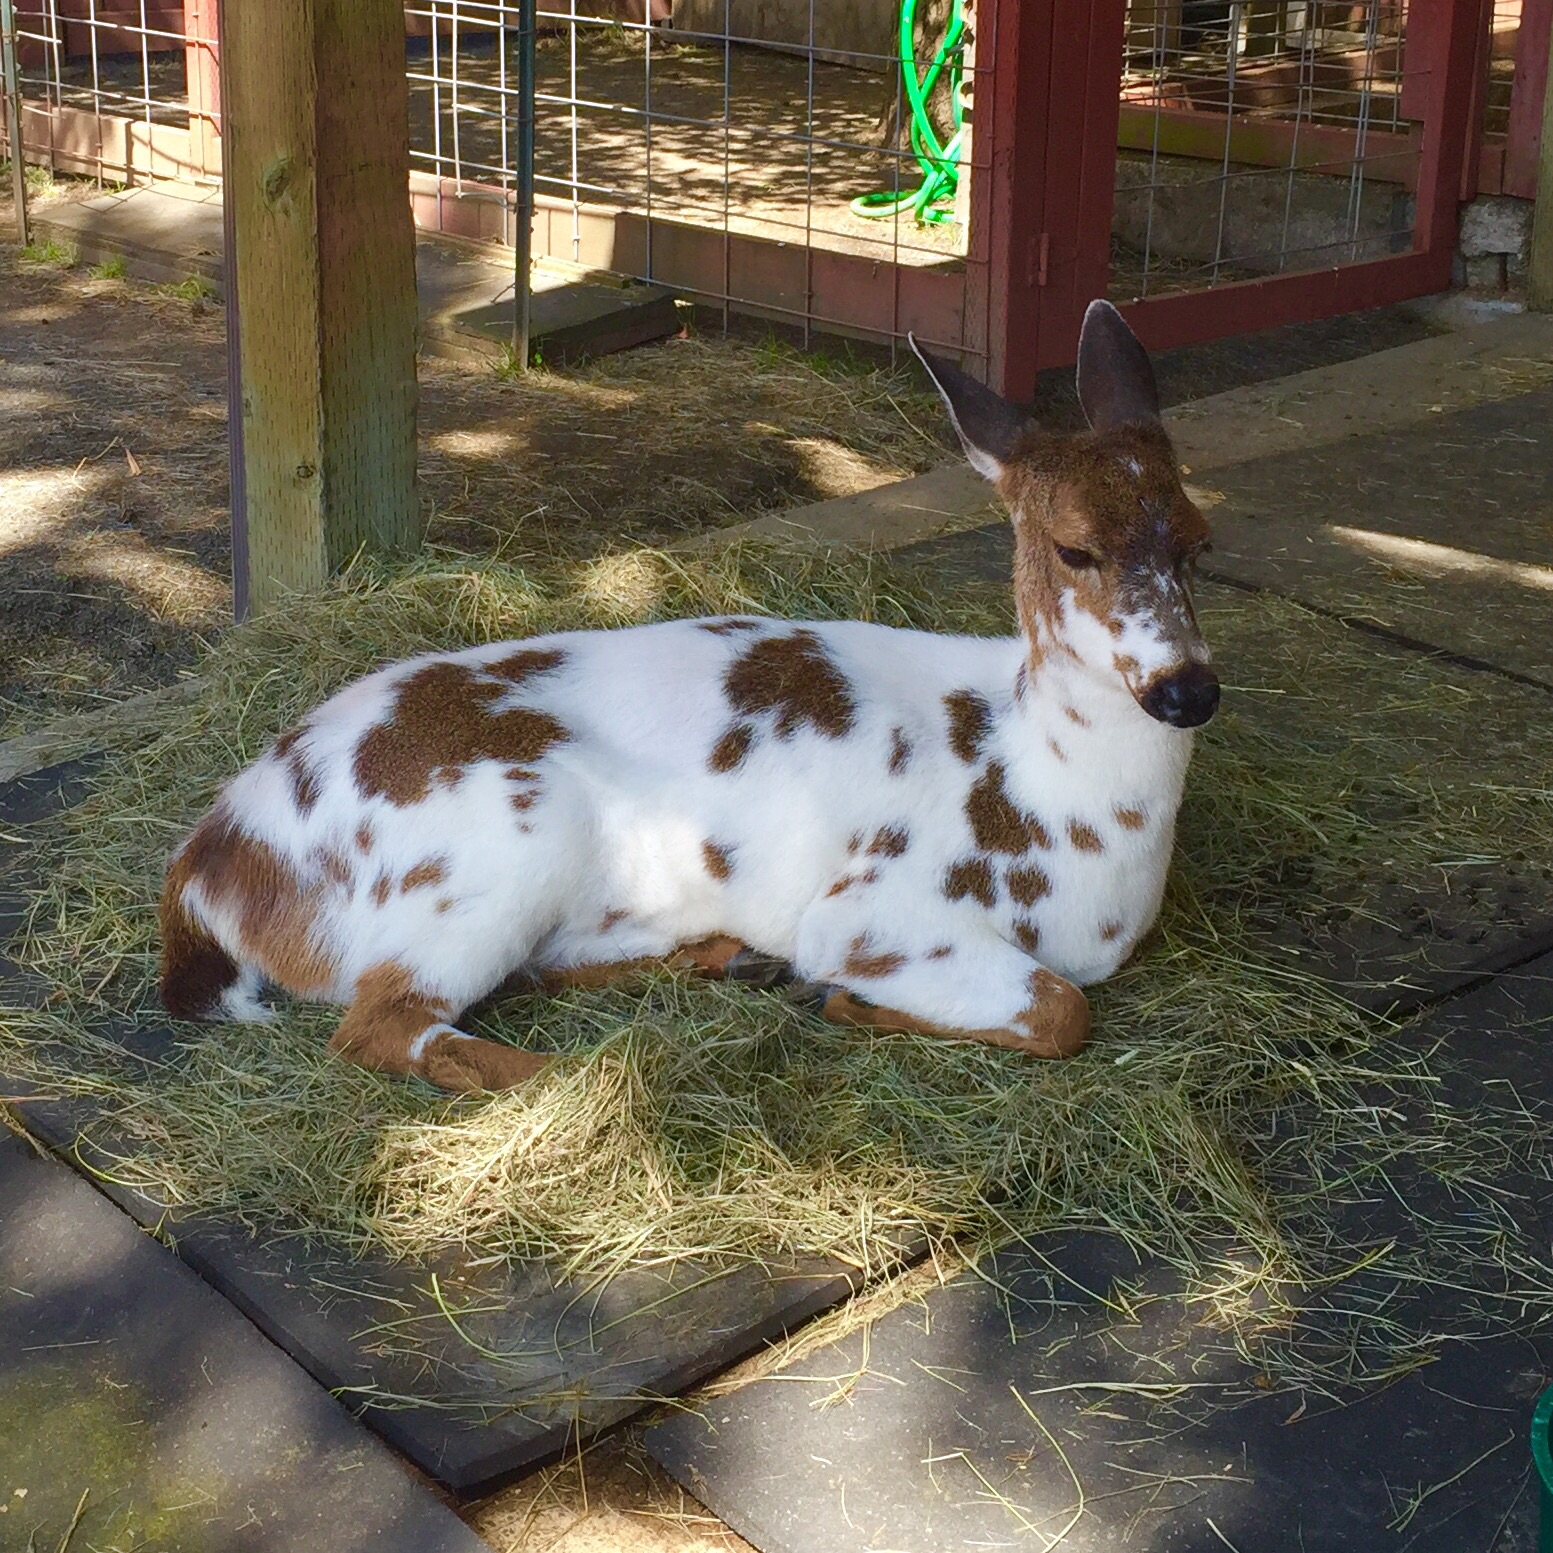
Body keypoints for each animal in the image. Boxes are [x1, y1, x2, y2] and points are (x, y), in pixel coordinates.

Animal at [158, 300, 1217, 1093]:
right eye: (1074, 547)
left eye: (1197, 538)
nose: (1187, 688)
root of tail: (217, 861)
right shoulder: (878, 907)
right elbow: (1064, 1009)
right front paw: (848, 998)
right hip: (495, 848)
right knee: (383, 1023)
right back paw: (584, 1074)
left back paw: (726, 958)